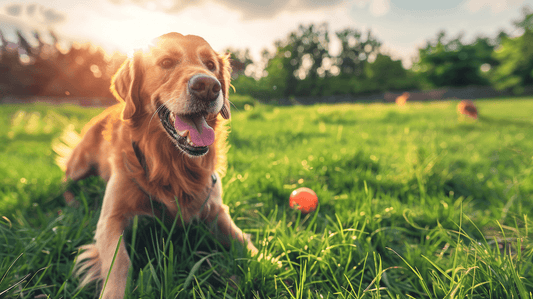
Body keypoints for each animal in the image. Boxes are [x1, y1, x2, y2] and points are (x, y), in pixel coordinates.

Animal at [61, 31, 258, 298]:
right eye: (166, 62)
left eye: (210, 65)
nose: (208, 87)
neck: (171, 164)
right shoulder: (110, 218)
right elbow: (120, 261)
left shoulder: (215, 208)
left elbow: (243, 241)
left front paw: (270, 262)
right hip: (78, 166)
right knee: (64, 183)